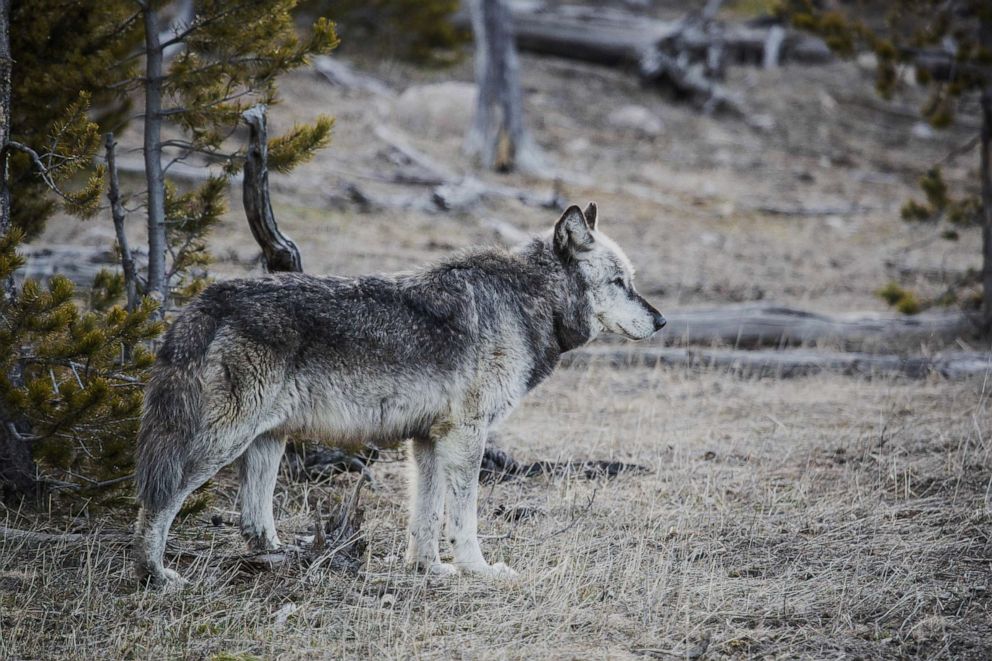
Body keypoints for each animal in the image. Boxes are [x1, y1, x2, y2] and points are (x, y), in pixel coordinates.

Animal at [130, 204, 660, 584]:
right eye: (619, 282)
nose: (661, 320)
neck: (528, 300)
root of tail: (204, 301)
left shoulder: (426, 440)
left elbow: (424, 517)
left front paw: (429, 569)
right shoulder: (466, 436)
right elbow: (463, 518)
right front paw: (478, 571)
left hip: (266, 443)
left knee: (253, 524)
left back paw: (286, 561)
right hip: (222, 443)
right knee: (158, 501)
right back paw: (155, 574)